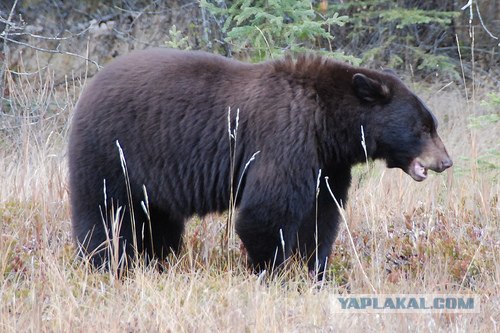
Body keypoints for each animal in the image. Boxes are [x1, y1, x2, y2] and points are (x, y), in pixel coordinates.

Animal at [67, 48, 454, 274]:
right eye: (423, 127)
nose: (446, 161)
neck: (326, 122)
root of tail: (90, 86)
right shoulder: (285, 140)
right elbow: (267, 212)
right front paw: (272, 271)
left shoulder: (327, 163)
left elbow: (321, 214)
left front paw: (313, 270)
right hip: (111, 151)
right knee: (105, 212)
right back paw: (106, 264)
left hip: (153, 176)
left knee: (159, 221)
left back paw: (157, 261)